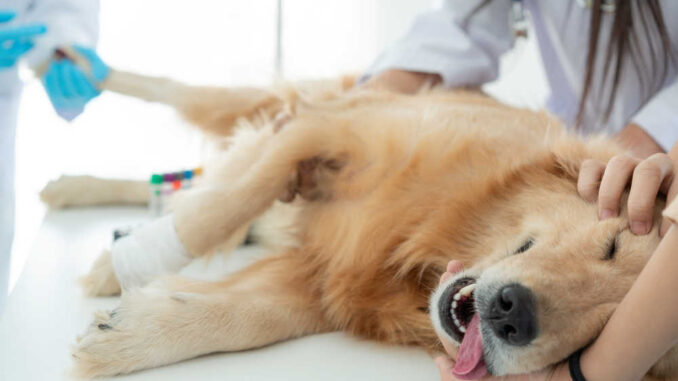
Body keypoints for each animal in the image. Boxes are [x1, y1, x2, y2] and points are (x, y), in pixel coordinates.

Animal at [43, 47, 678, 378]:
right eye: (613, 243)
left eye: (604, 332)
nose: (513, 314)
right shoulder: (325, 128)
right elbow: (222, 208)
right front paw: (116, 269)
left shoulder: (323, 279)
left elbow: (253, 316)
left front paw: (127, 335)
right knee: (175, 99)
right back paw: (71, 72)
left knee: (192, 182)